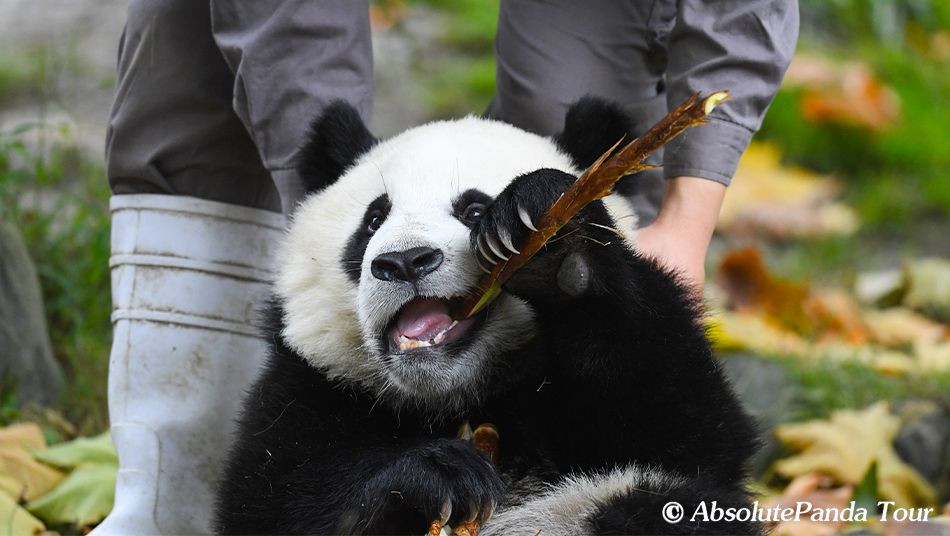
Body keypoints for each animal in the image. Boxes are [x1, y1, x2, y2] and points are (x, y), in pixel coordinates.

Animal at [214, 99, 761, 535]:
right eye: (373, 219)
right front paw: (442, 473)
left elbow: (688, 430)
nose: (405, 261)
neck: (460, 394)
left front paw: (554, 242)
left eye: (474, 211)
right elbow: (273, 502)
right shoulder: (309, 384)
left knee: (657, 506)